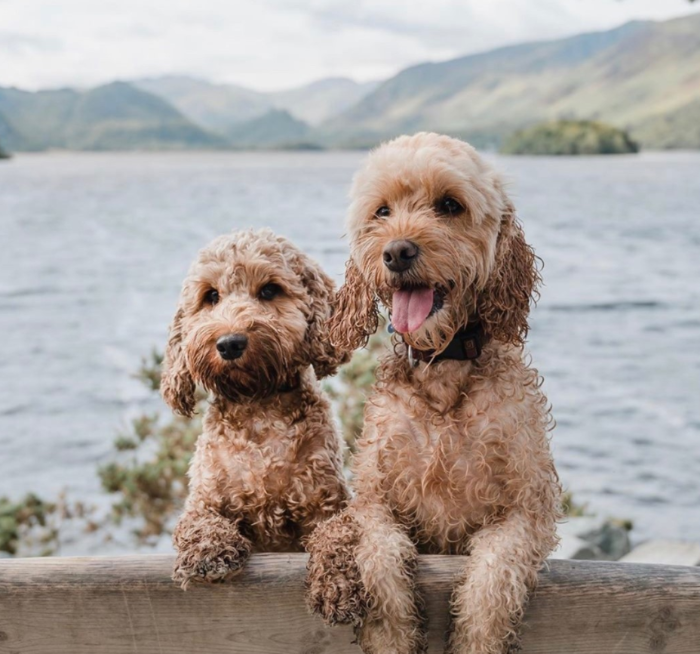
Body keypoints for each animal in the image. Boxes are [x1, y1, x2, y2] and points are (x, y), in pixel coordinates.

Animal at [163, 229, 350, 588]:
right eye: (211, 296)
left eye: (269, 290)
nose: (230, 343)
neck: (258, 409)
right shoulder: (204, 499)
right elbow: (198, 522)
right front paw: (209, 551)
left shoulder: (327, 503)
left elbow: (338, 533)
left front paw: (340, 579)